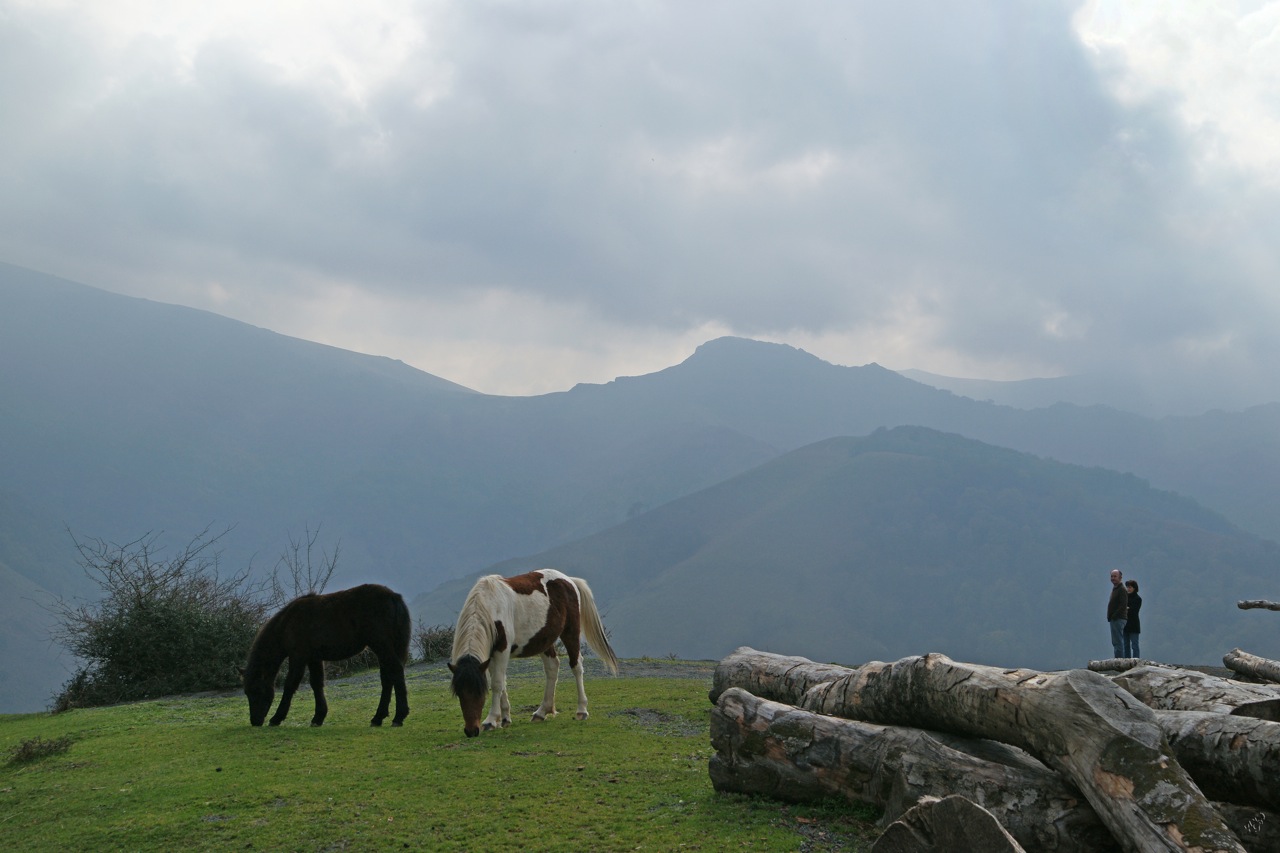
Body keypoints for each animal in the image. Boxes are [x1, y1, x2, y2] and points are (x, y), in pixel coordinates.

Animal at [240, 581, 409, 727]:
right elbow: (316, 683)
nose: (255, 721)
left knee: (395, 671)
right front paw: (318, 717)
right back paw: (378, 718)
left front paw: (277, 718)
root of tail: (393, 596)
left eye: (257, 691)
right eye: (246, 693)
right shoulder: (314, 658)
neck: (287, 623)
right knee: (387, 678)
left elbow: (290, 685)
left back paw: (398, 717)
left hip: (381, 646)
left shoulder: (298, 657)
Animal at [450, 568, 619, 732]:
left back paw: (582, 710)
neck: (490, 605)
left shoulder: (501, 650)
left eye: (480, 692)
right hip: (545, 640)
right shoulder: (491, 654)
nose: (471, 731)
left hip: (570, 631)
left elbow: (497, 683)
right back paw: (542, 712)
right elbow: (501, 681)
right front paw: (504, 718)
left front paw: (491, 721)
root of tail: (569, 580)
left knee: (576, 665)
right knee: (552, 667)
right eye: (459, 693)